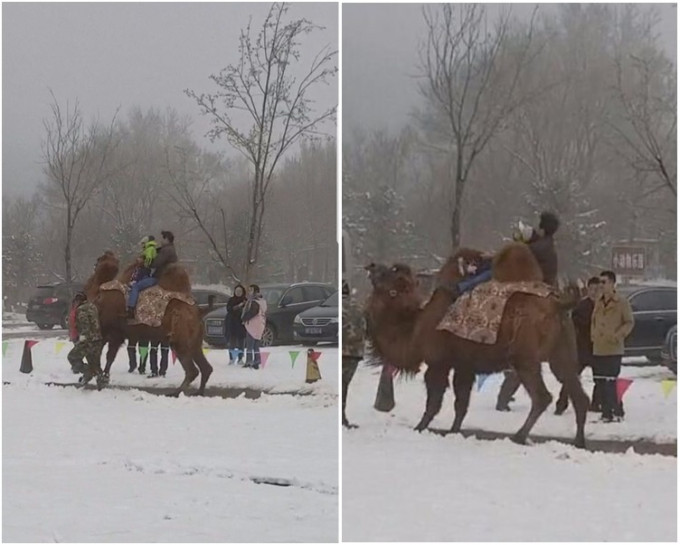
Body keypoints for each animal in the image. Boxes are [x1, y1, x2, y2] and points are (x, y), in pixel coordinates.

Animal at [84, 251, 214, 396]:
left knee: (192, 370)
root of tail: (200, 311)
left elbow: (104, 356)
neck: (99, 296)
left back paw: (174, 393)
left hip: (180, 339)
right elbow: (102, 356)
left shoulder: (113, 332)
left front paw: (98, 378)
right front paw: (94, 378)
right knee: (206, 367)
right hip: (195, 342)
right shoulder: (111, 333)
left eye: (98, 259)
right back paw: (199, 392)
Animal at [364, 244, 588, 448]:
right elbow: (461, 404)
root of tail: (560, 305)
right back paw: (579, 441)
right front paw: (453, 432)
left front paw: (419, 427)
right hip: (563, 353)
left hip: (524, 356)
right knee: (577, 392)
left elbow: (435, 400)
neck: (415, 329)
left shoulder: (439, 362)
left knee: (542, 396)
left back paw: (518, 437)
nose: (372, 265)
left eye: (389, 272)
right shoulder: (465, 366)